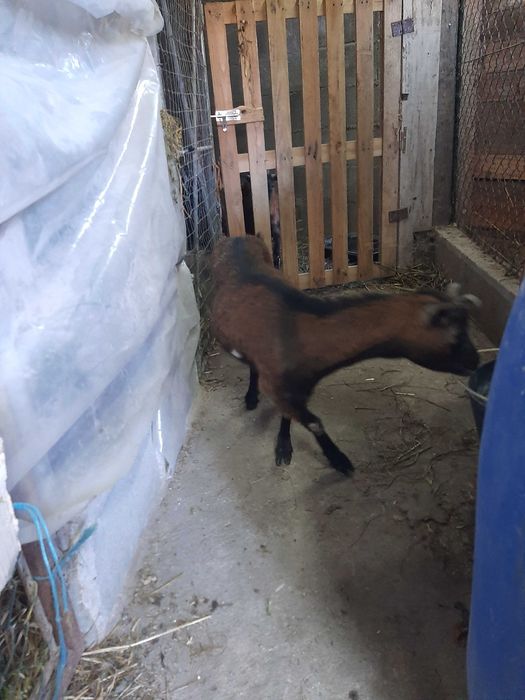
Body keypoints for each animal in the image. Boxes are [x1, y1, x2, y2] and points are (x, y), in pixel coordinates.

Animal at [210, 235, 480, 476]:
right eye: (456, 335)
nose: (476, 361)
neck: (299, 330)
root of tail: (236, 238)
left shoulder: (295, 390)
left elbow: (289, 415)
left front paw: (286, 445)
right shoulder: (278, 387)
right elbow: (314, 423)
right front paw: (338, 460)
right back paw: (250, 397)